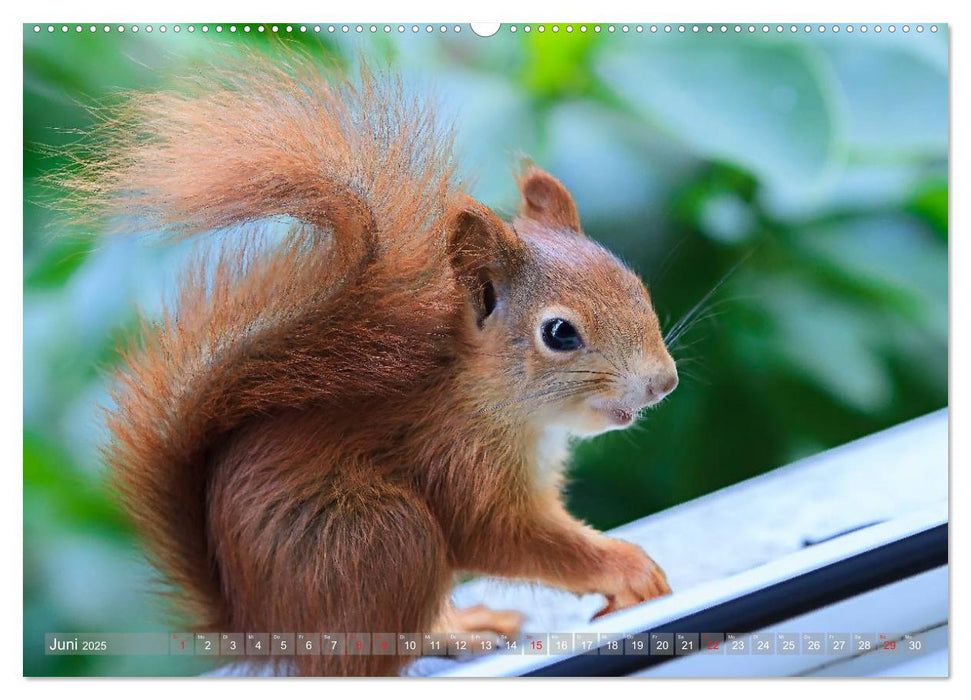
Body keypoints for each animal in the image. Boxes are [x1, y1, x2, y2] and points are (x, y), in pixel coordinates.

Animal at [66, 52, 676, 676]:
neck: (496, 404)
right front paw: (626, 568)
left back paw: (463, 627)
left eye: (635, 283)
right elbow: (505, 538)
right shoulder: (457, 460)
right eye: (559, 333)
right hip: (377, 539)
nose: (663, 382)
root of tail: (260, 628)